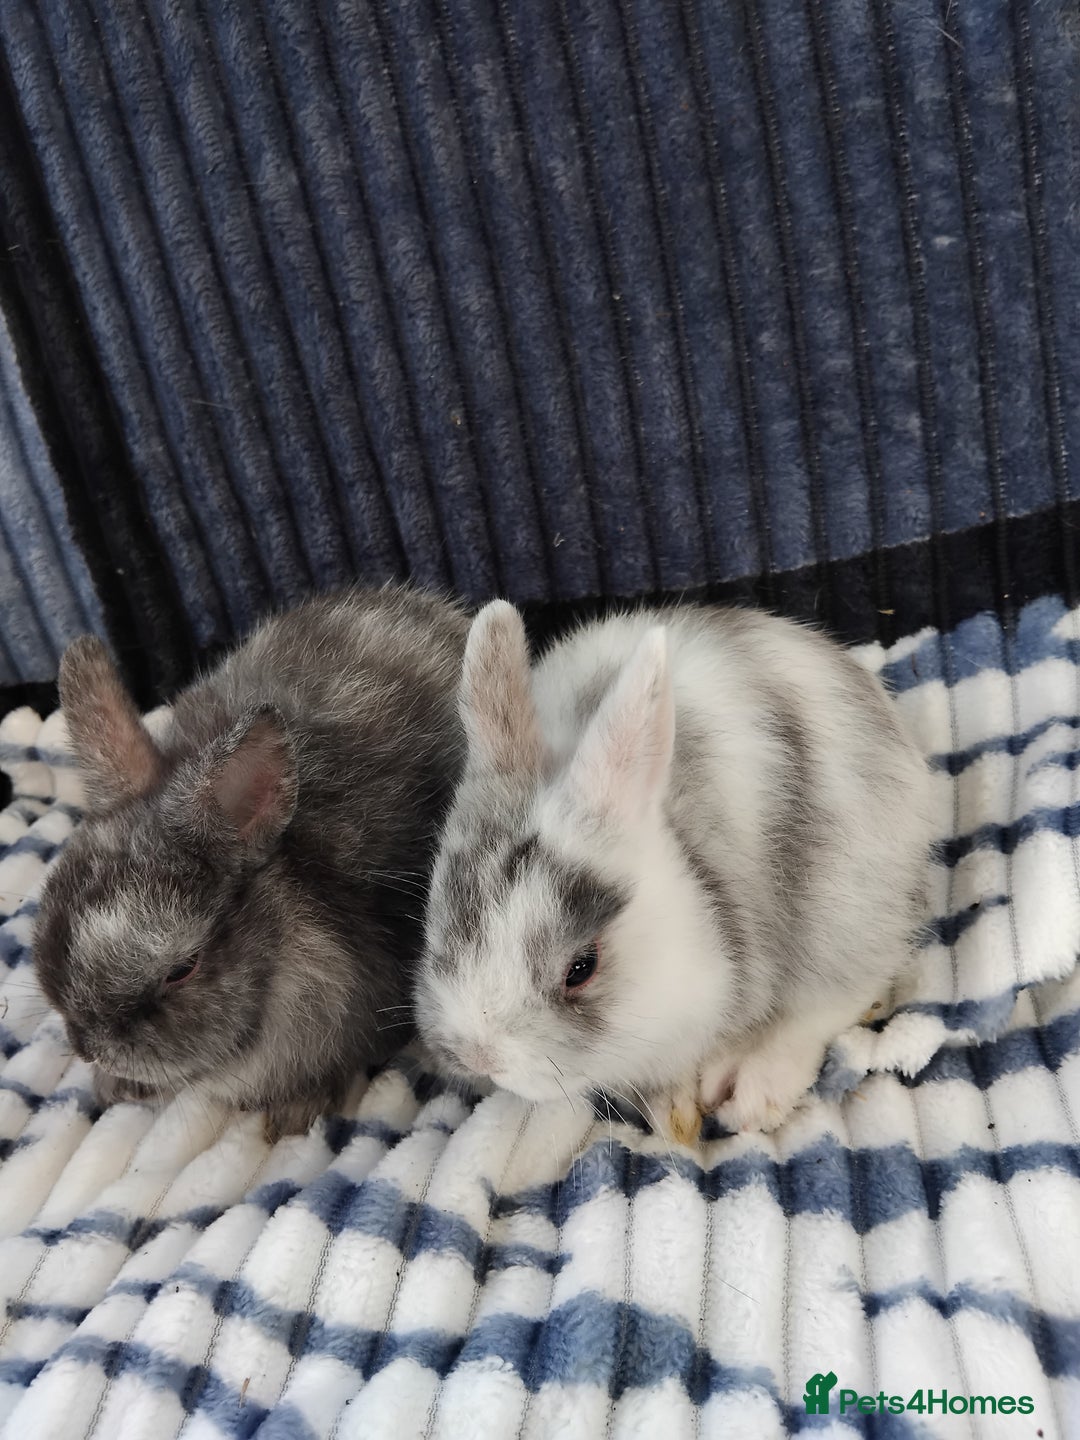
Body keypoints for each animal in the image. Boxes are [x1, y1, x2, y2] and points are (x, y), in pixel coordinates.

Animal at [415, 600, 933, 1143]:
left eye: (582, 968)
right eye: (437, 928)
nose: (479, 1057)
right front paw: (672, 1108)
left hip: (846, 912)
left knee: (832, 1001)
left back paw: (753, 1090)